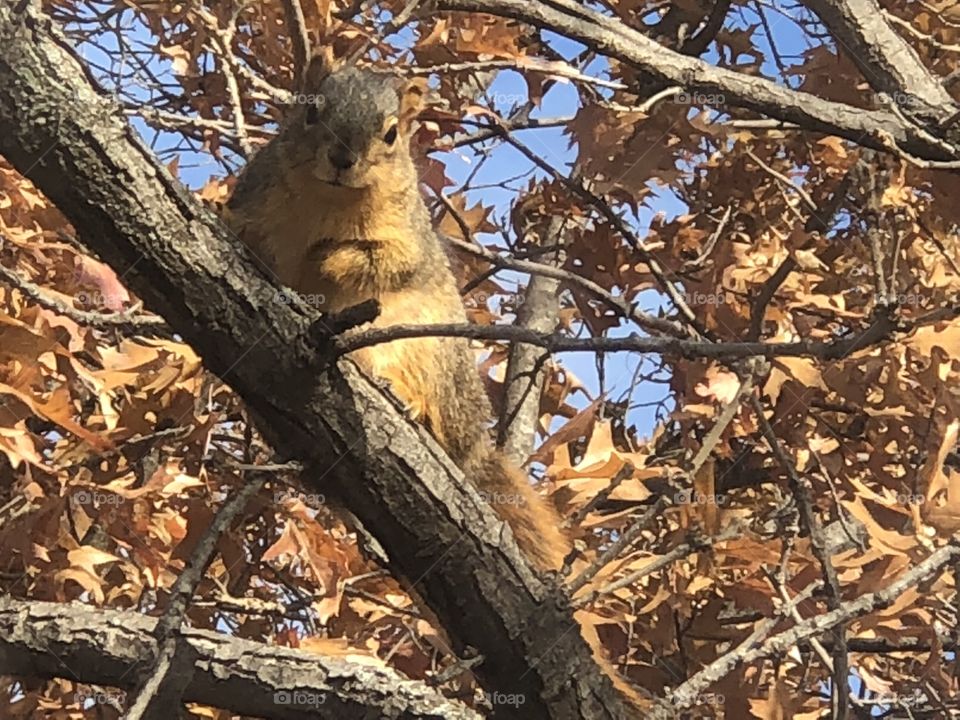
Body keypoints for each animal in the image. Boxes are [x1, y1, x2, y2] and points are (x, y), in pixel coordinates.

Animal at [221, 53, 568, 572]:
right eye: (311, 112)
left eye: (390, 134)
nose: (343, 159)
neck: (331, 199)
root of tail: (474, 448)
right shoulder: (254, 199)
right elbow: (242, 232)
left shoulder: (408, 236)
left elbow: (388, 262)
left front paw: (327, 258)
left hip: (432, 356)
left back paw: (409, 403)